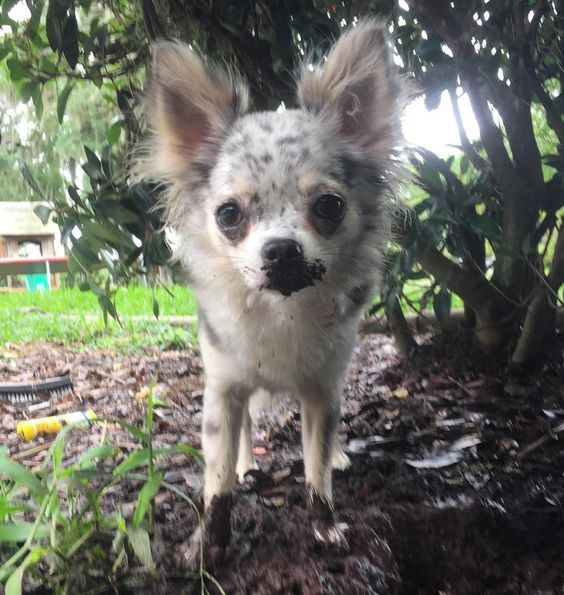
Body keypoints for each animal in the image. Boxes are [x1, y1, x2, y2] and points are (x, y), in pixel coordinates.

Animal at [139, 18, 404, 564]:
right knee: (243, 432)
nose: (281, 250)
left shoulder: (323, 391)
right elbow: (217, 478)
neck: (282, 312)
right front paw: (210, 542)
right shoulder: (223, 390)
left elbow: (315, 466)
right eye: (228, 215)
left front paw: (324, 524)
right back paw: (246, 465)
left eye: (329, 206)